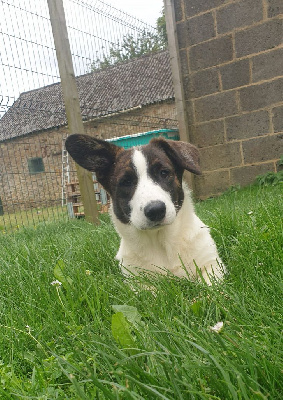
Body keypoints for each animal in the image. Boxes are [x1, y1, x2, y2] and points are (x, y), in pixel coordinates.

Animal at [65, 134, 226, 284]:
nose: (156, 210)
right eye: (126, 182)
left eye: (164, 173)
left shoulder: (212, 265)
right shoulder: (137, 282)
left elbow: (210, 287)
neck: (161, 243)